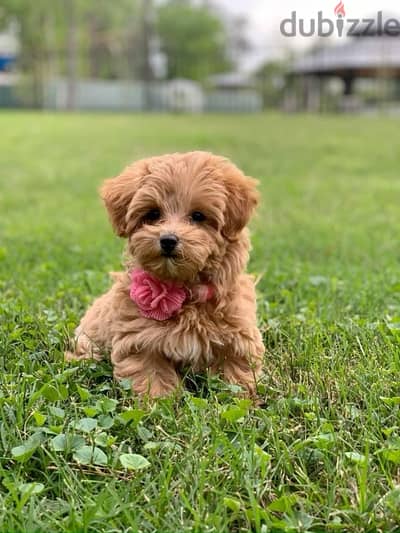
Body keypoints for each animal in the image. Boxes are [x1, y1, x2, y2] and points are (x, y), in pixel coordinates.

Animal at [66, 150, 266, 394]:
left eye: (198, 216)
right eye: (153, 214)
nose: (168, 239)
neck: (185, 292)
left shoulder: (238, 335)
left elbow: (236, 373)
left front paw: (244, 396)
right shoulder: (140, 339)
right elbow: (151, 376)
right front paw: (158, 401)